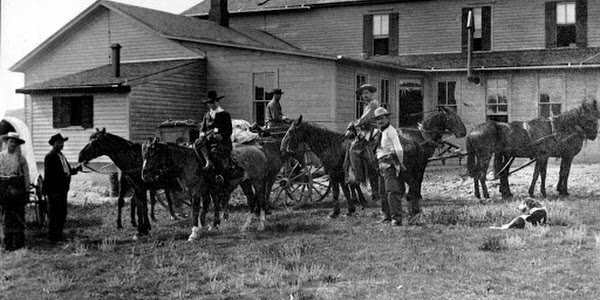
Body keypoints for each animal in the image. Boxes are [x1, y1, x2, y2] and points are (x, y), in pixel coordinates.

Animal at [282, 116, 432, 218]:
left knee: (414, 186)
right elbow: (346, 191)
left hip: (406, 173)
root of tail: (414, 143)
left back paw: (413, 210)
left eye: (291, 132)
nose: (283, 148)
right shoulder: (340, 175)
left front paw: (334, 213)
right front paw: (350, 210)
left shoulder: (333, 174)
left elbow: (336, 193)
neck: (331, 145)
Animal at [468, 98, 600, 200]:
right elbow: (547, 174)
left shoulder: (550, 156)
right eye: (588, 118)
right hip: (485, 156)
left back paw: (482, 194)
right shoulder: (557, 156)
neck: (558, 129)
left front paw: (555, 191)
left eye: (596, 117)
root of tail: (473, 130)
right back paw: (486, 195)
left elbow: (550, 174)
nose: (594, 135)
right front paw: (541, 192)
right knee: (482, 175)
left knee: (488, 174)